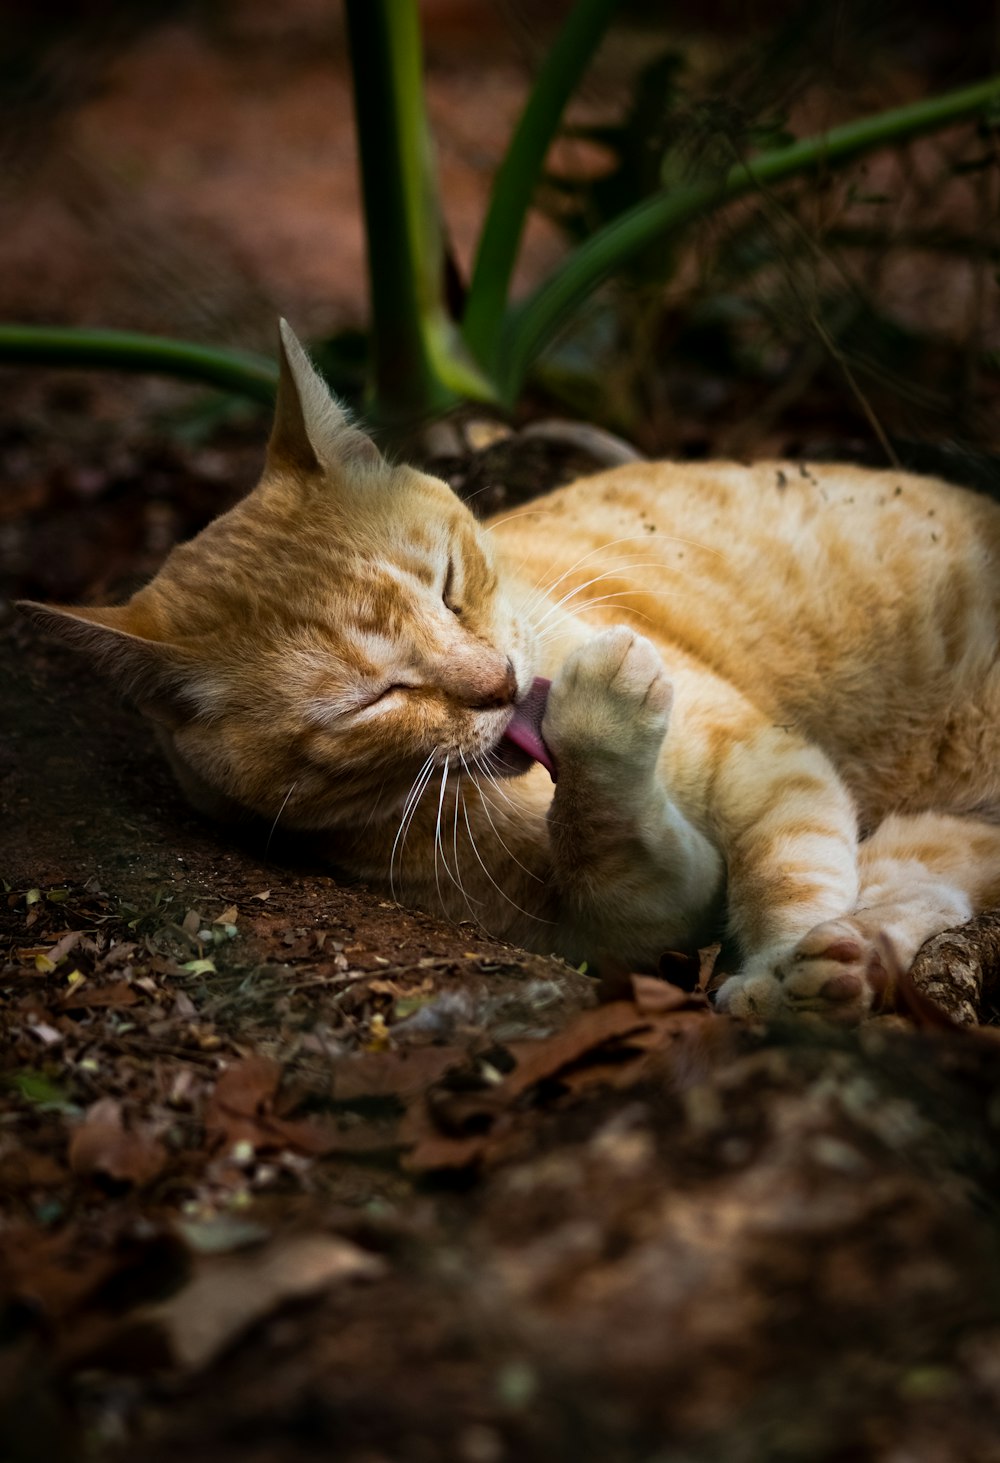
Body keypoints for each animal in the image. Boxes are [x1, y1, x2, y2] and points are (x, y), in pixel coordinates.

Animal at [17, 326, 1000, 1024]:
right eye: (376, 698)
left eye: (449, 585)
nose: (498, 683)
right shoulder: (629, 919)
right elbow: (615, 848)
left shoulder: (760, 760)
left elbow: (789, 863)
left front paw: (778, 965)